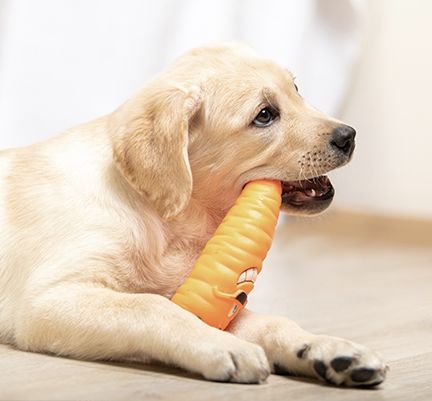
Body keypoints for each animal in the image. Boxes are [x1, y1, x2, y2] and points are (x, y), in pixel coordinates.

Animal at [0, 43, 386, 384]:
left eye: (295, 89)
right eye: (264, 115)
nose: (349, 136)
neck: (162, 219)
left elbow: (272, 321)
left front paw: (327, 348)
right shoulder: (47, 300)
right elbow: (151, 307)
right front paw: (222, 345)